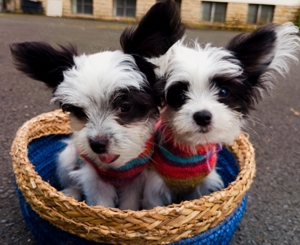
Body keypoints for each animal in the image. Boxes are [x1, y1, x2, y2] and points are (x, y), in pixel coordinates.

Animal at [10, 0, 184, 211]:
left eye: (125, 106)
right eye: (78, 111)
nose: (97, 145)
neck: (116, 166)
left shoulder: (135, 179)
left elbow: (129, 203)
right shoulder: (93, 178)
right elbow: (101, 204)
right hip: (67, 158)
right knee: (71, 180)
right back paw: (71, 194)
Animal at [144, 22, 300, 209]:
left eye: (224, 92)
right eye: (179, 95)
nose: (202, 116)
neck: (190, 151)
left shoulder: (204, 186)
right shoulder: (155, 189)